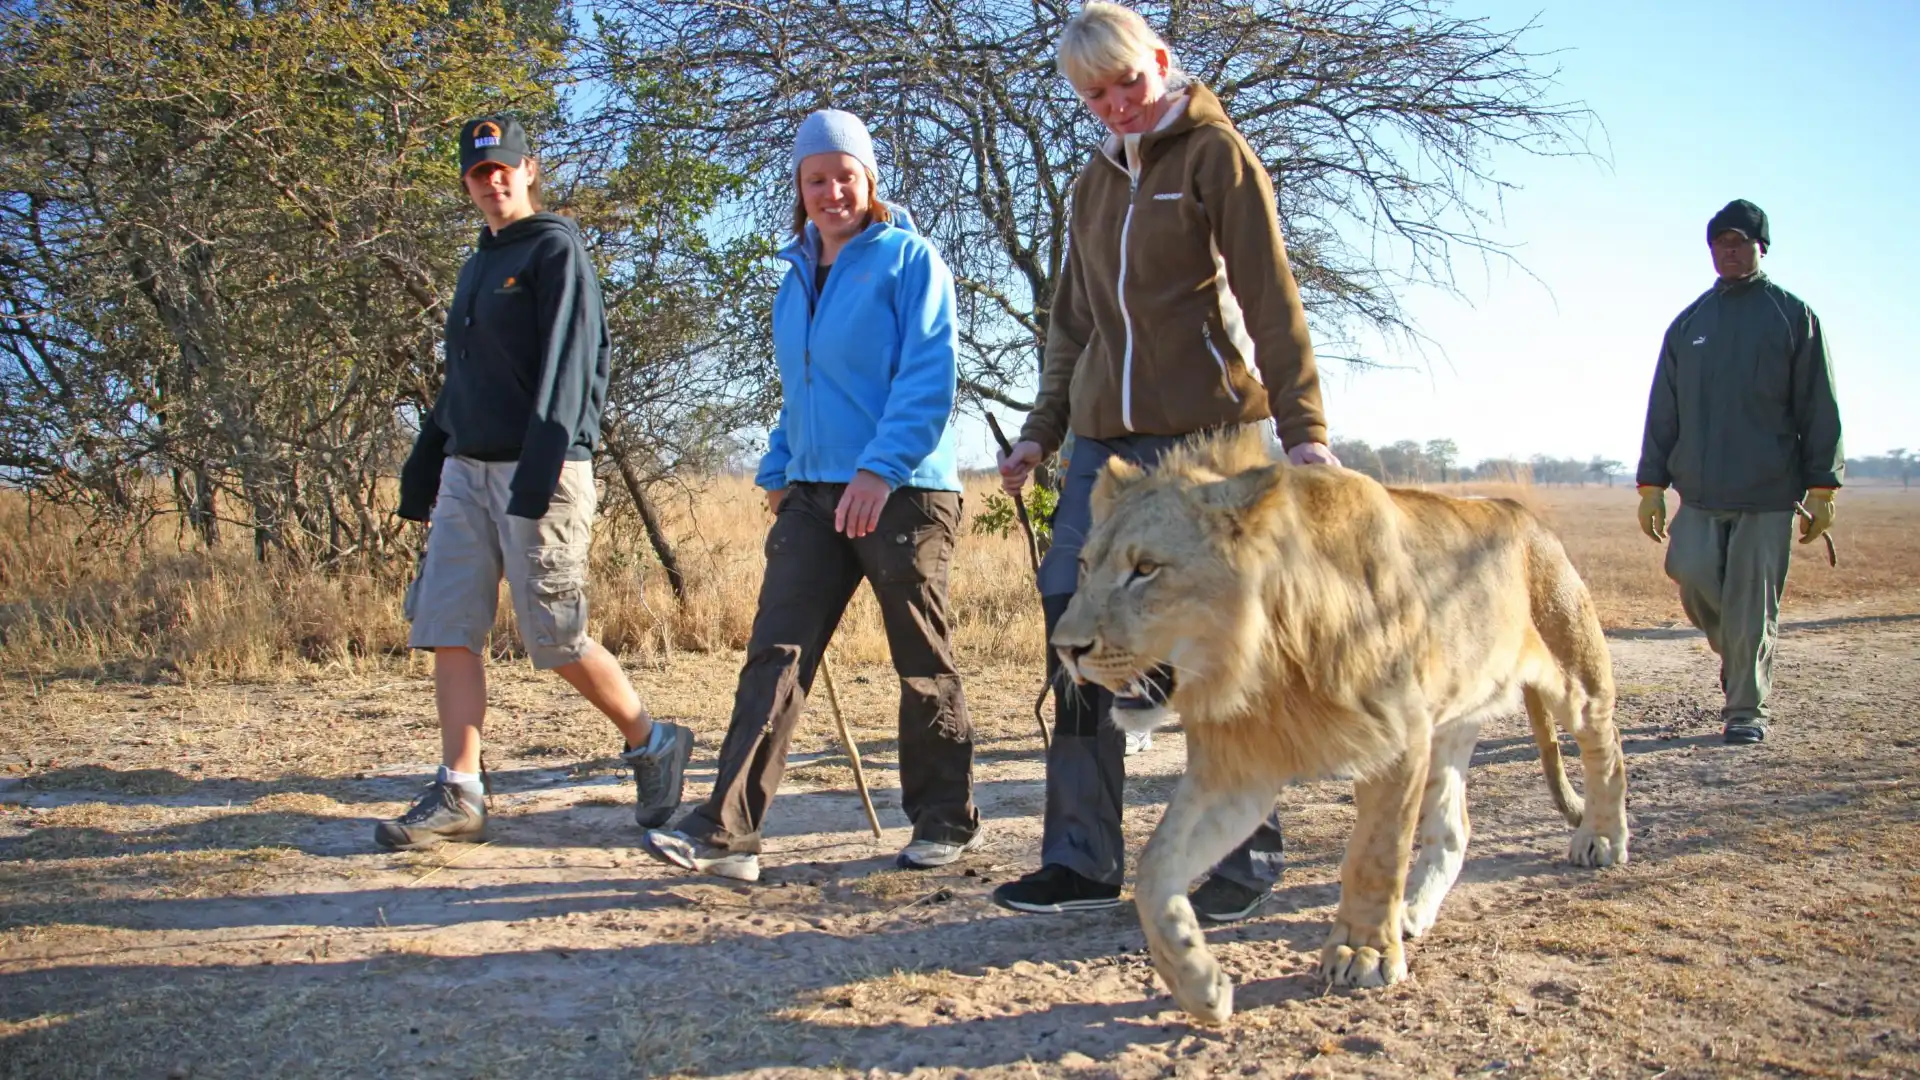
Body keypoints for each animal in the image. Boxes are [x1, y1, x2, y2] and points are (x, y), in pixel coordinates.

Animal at [1051, 428, 1630, 1024]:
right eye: (1085, 567)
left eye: (1145, 569)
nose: (1065, 648)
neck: (1267, 664)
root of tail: (1521, 511)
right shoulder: (1237, 772)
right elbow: (1154, 867)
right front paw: (1197, 983)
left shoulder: (1398, 740)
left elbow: (1375, 854)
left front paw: (1362, 952)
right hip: (1448, 726)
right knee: (1453, 829)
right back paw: (1412, 911)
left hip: (1572, 675)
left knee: (1606, 746)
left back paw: (1601, 838)